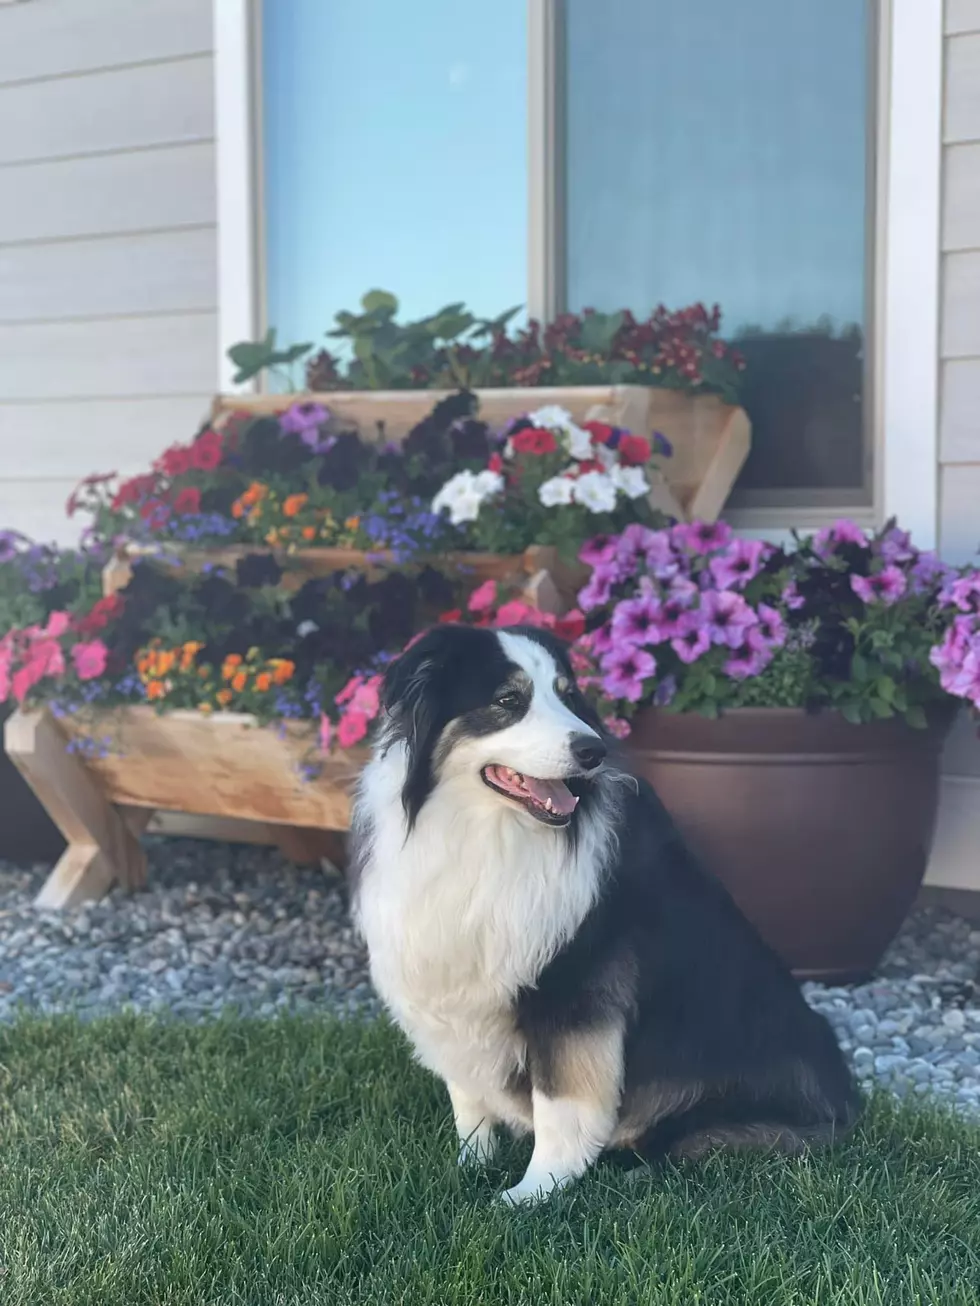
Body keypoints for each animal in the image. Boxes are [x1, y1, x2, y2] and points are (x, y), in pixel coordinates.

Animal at [350, 621, 857, 1201]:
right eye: (508, 701)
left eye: (568, 695)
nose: (592, 750)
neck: (488, 834)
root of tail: (846, 1106)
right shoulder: (452, 985)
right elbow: (468, 1093)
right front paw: (471, 1164)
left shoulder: (578, 985)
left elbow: (562, 1101)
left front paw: (533, 1193)